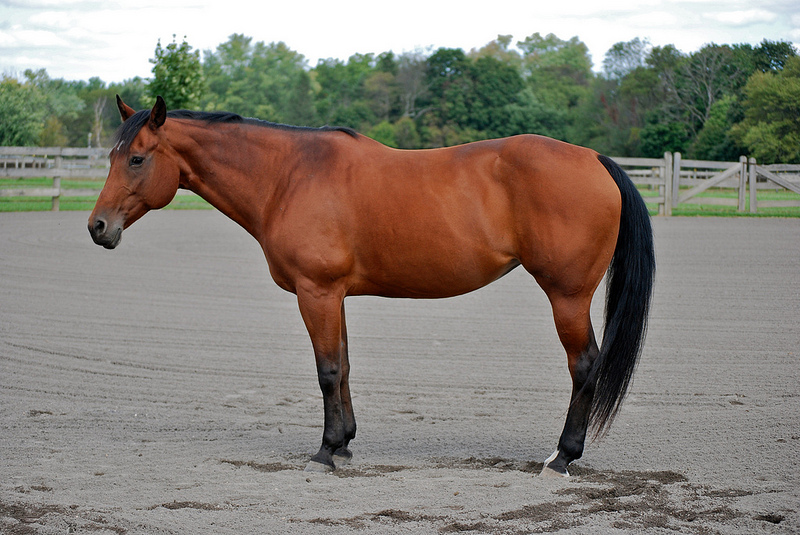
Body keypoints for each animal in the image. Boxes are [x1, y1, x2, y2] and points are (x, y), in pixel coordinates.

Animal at [89, 95, 654, 477]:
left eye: (136, 158)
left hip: (567, 298)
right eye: (112, 157)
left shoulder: (316, 292)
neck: (289, 176)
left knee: (584, 366)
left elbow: (326, 370)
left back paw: (562, 457)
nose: (98, 227)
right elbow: (342, 366)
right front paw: (345, 442)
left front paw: (325, 451)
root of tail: (593, 158)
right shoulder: (332, 295)